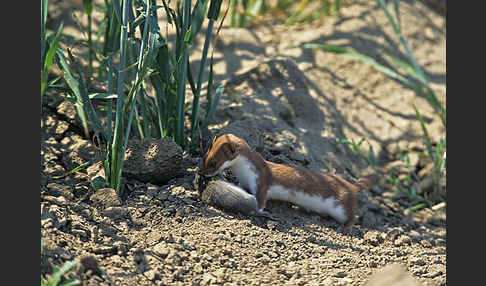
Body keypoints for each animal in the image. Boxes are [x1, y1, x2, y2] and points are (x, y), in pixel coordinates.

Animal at [197, 134, 376, 232]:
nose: (200, 172)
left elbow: (260, 202)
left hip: (341, 206)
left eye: (213, 162)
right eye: (204, 156)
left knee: (351, 216)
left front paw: (262, 212)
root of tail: (352, 186)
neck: (243, 172)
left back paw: (345, 228)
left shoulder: (262, 182)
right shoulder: (245, 182)